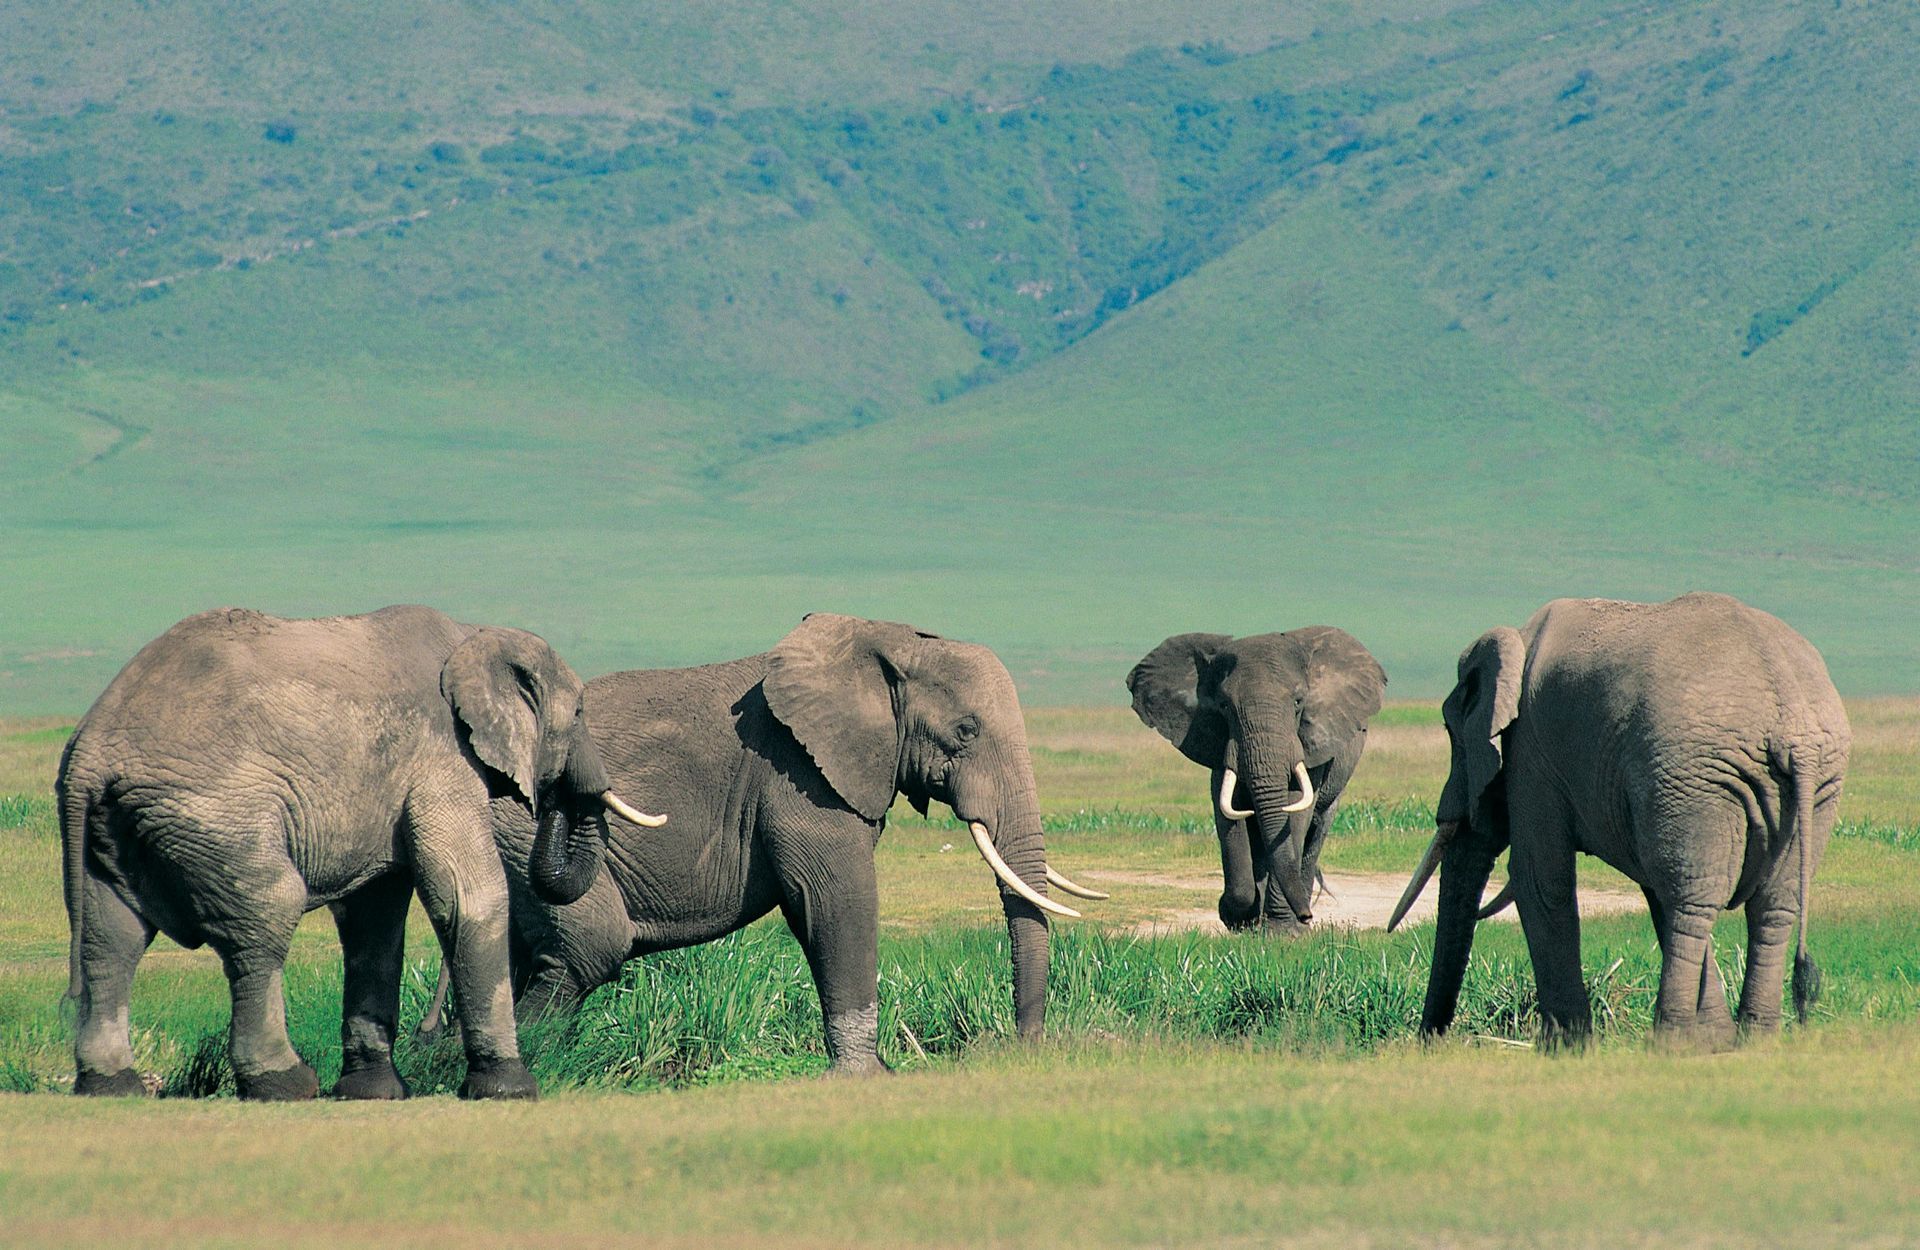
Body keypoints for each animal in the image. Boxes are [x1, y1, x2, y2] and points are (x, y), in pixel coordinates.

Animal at [56, 604, 659, 1100]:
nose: (553, 797)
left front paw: (373, 1092)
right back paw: (283, 1084)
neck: (474, 634)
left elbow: (374, 921)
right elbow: (468, 897)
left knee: (111, 940)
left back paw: (112, 1087)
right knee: (262, 922)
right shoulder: (441, 758)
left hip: (113, 831)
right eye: (579, 712)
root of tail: (89, 751)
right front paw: (509, 1090)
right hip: (214, 813)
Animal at [433, 613, 1106, 1075]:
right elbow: (837, 901)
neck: (884, 640)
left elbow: (814, 915)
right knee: (585, 950)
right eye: (966, 731)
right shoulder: (799, 776)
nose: (1021, 1050)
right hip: (516, 832)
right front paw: (867, 1078)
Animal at [1127, 627, 1387, 934]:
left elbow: (1294, 809)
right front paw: (1239, 919)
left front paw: (1282, 933)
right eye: (1224, 706)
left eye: (1298, 702)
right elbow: (1228, 811)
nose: (1307, 915)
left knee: (1316, 831)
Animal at [1389, 592, 1851, 1049]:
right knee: (1765, 905)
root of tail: (1791, 722)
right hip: (1791, 786)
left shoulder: (1534, 753)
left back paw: (1668, 1042)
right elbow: (1650, 886)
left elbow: (1538, 878)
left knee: (1691, 901)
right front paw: (1712, 1041)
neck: (1518, 639)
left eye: (1450, 731)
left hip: (1700, 771)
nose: (1429, 1041)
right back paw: (1753, 1040)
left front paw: (1567, 1048)